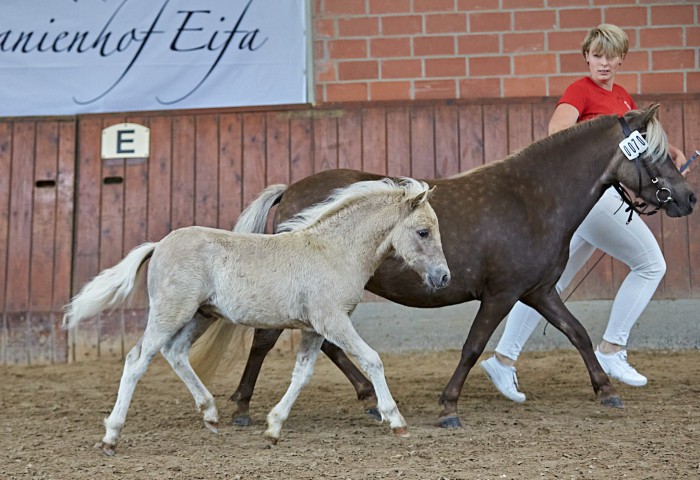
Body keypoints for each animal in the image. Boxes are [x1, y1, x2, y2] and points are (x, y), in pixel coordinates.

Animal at [62, 177, 451, 455]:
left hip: (201, 315)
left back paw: (211, 414)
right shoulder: (333, 321)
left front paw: (273, 429)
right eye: (423, 231)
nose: (443, 277)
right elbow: (372, 360)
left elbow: (302, 374)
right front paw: (396, 420)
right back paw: (111, 437)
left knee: (175, 353)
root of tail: (158, 245)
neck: (333, 251)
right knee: (137, 358)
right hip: (170, 313)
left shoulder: (314, 329)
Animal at [196, 104, 696, 429]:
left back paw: (367, 399)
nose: (688, 197)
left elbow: (577, 333)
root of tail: (290, 190)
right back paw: (242, 408)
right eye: (654, 154)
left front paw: (606, 391)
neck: (532, 198)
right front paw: (448, 407)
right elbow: (472, 347)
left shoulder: (538, 291)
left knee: (327, 346)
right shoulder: (500, 294)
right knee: (267, 339)